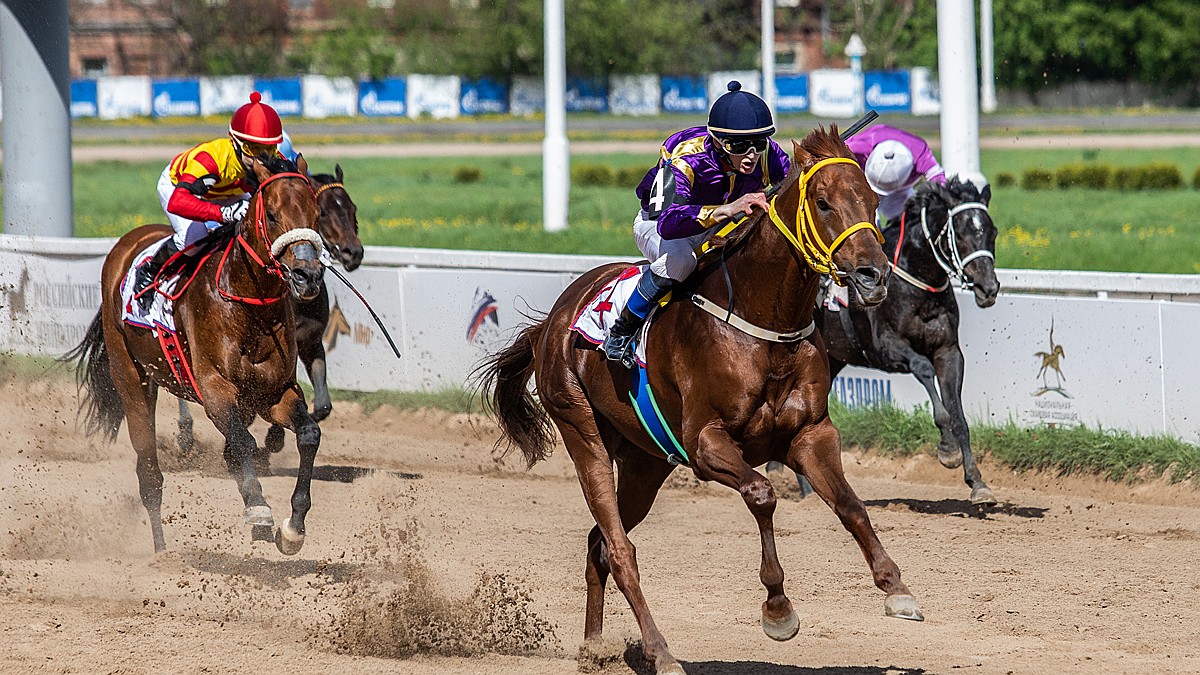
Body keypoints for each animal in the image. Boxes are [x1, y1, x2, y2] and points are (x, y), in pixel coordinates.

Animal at [64, 154, 328, 554]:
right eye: (272, 215)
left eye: (315, 214)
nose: (308, 276)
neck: (249, 305)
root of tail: (126, 243)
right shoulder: (215, 388)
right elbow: (242, 442)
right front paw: (259, 509)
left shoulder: (272, 392)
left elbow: (308, 433)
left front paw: (293, 526)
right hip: (132, 378)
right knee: (149, 474)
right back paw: (160, 553)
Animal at [174, 163, 360, 456]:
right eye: (326, 212)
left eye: (352, 209)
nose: (354, 252)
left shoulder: (310, 341)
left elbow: (321, 405)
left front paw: (276, 434)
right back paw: (185, 434)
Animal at [475, 126, 916, 672]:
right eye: (823, 202)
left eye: (873, 201)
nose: (874, 276)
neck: (763, 326)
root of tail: (552, 323)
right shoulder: (706, 444)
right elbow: (762, 494)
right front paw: (777, 610)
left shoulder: (811, 435)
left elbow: (852, 506)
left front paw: (896, 589)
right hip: (582, 432)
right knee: (620, 550)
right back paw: (661, 652)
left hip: (645, 462)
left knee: (600, 543)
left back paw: (595, 646)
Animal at [816, 176, 1003, 502]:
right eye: (961, 233)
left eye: (992, 232)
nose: (988, 288)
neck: (917, 284)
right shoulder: (885, 347)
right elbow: (925, 372)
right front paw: (947, 449)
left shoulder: (948, 350)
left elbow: (958, 414)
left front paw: (977, 482)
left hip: (830, 356)